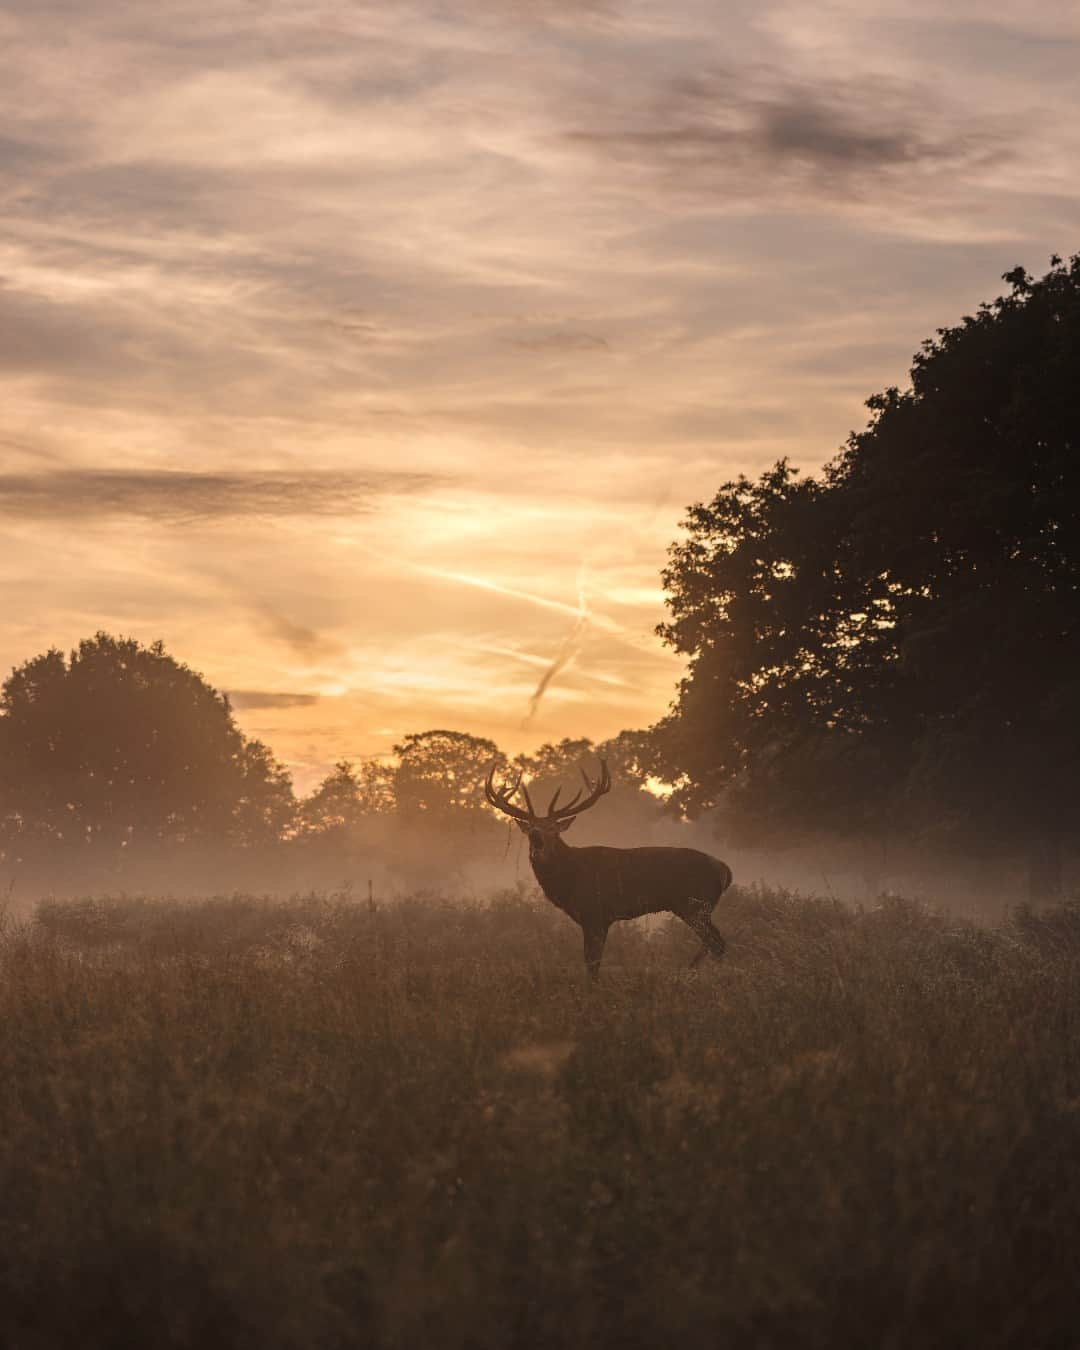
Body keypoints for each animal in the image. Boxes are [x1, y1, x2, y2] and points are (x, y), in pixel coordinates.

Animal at [486, 761, 734, 982]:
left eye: (553, 829)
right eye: (530, 829)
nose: (537, 839)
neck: (569, 879)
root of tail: (724, 870)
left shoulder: (595, 912)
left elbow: (592, 961)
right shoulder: (595, 918)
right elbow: (592, 960)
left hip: (695, 904)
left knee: (716, 943)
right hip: (695, 907)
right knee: (713, 943)